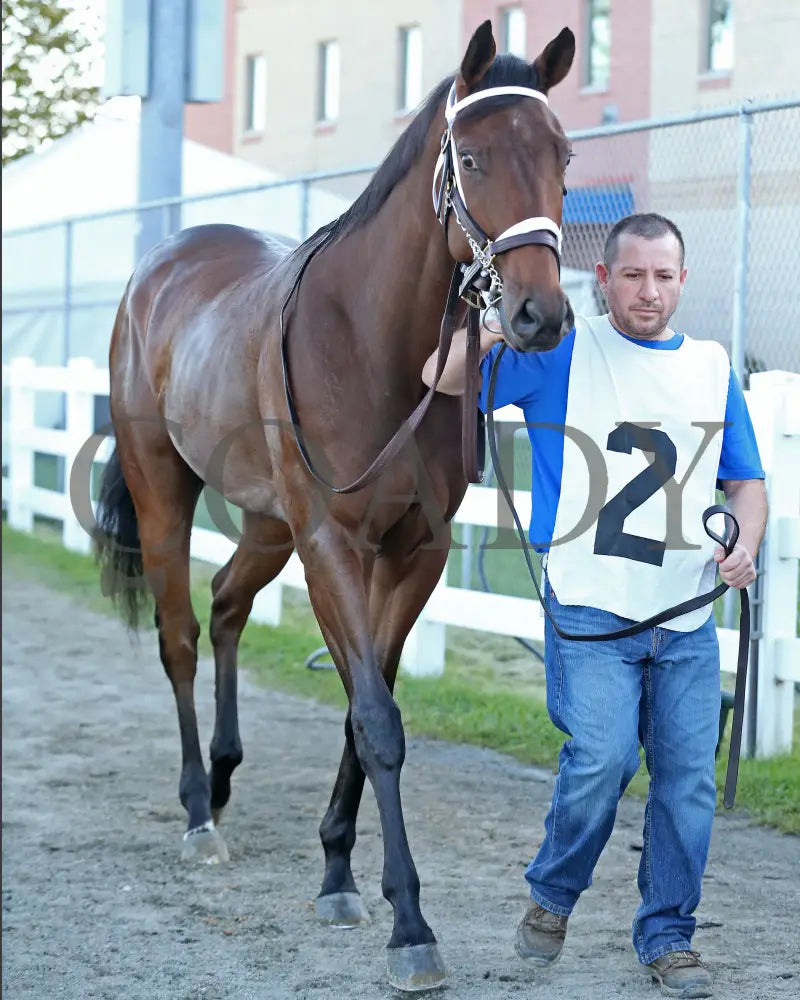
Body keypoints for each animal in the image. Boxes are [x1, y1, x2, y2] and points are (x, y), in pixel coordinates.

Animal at [95, 19, 576, 988]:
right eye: (471, 157)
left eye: (563, 157)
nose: (540, 316)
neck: (373, 344)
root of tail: (158, 269)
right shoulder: (331, 543)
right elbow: (377, 719)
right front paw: (411, 928)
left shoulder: (414, 552)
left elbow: (367, 704)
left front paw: (339, 873)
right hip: (169, 494)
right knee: (180, 635)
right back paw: (198, 811)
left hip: (266, 523)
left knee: (229, 603)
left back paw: (226, 777)